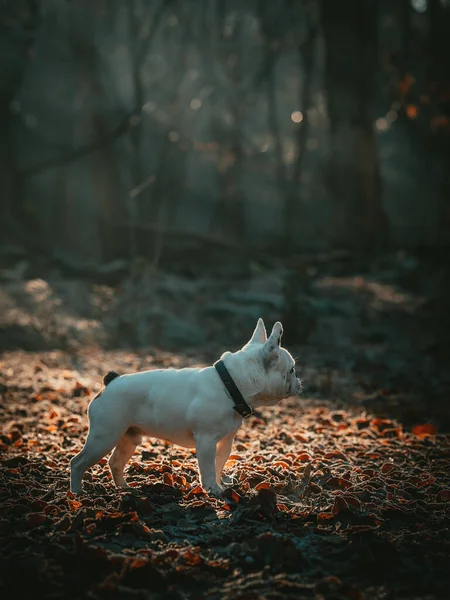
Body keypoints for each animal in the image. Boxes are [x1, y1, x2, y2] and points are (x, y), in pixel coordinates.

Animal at [70, 318, 300, 496]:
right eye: (292, 370)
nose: (299, 382)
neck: (231, 383)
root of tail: (111, 382)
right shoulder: (206, 440)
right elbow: (207, 467)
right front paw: (212, 490)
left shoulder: (225, 441)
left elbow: (218, 463)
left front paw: (220, 485)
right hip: (104, 436)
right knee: (77, 462)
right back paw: (77, 492)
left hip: (128, 437)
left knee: (115, 463)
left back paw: (124, 488)